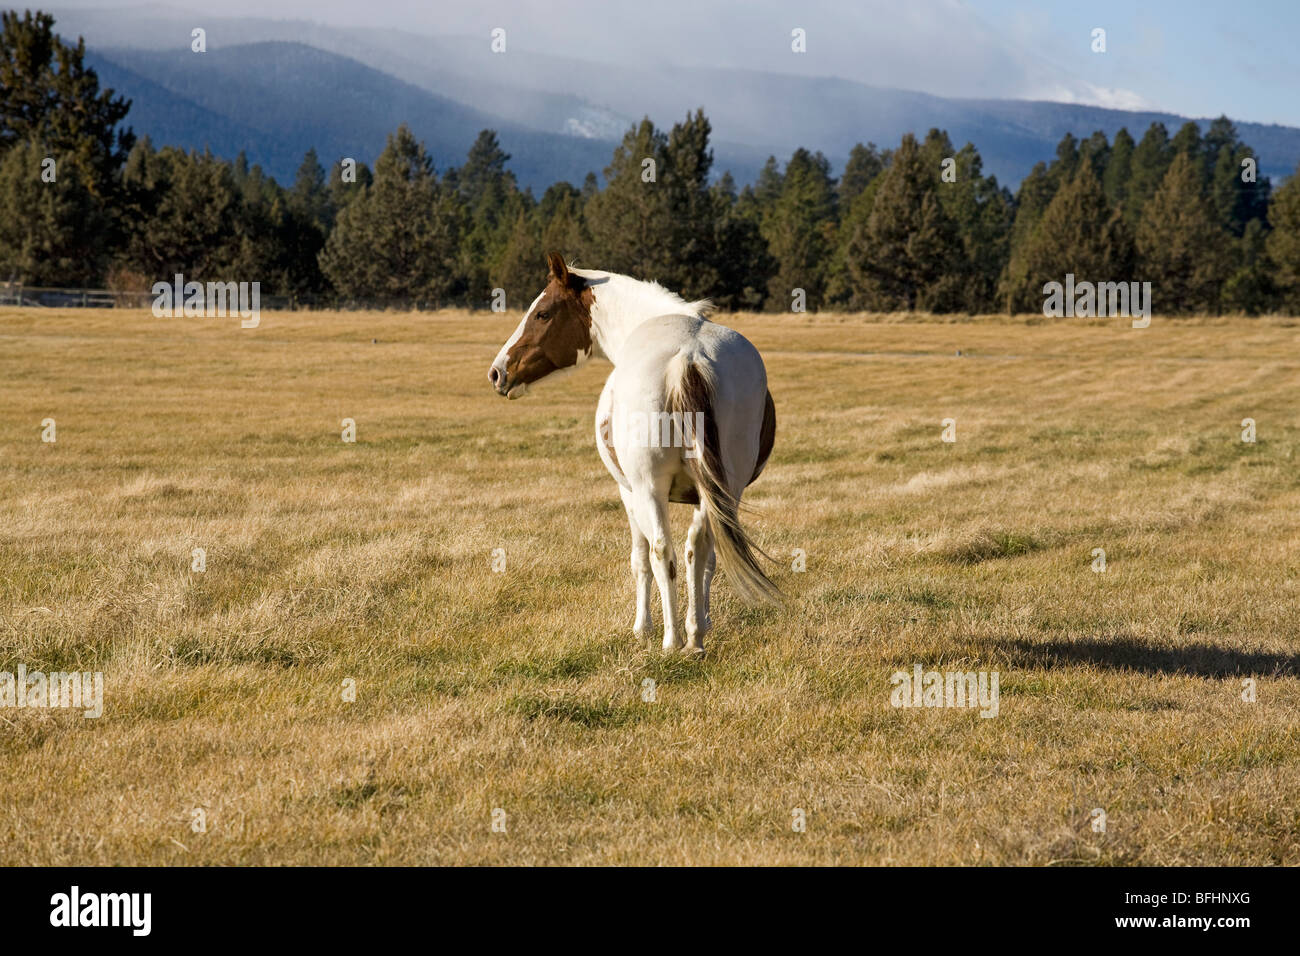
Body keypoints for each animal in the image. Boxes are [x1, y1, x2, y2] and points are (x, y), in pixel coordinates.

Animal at [488, 252, 779, 655]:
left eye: (542, 313)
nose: (497, 372)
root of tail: (689, 356)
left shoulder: (628, 492)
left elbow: (641, 559)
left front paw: (643, 627)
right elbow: (706, 558)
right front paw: (702, 621)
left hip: (649, 490)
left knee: (663, 552)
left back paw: (672, 640)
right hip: (723, 491)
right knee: (698, 549)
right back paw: (694, 638)